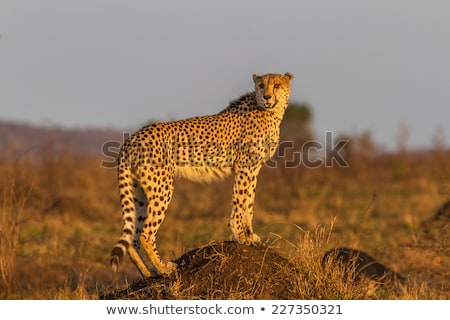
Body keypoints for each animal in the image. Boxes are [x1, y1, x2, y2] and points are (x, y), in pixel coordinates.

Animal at [110, 72, 294, 278]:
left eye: (276, 85)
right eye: (261, 85)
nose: (267, 97)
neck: (271, 112)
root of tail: (132, 138)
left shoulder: (253, 169)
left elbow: (249, 203)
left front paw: (249, 235)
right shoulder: (244, 167)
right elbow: (240, 202)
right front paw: (240, 236)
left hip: (139, 192)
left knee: (132, 237)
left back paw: (148, 273)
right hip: (162, 188)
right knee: (146, 233)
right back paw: (164, 269)